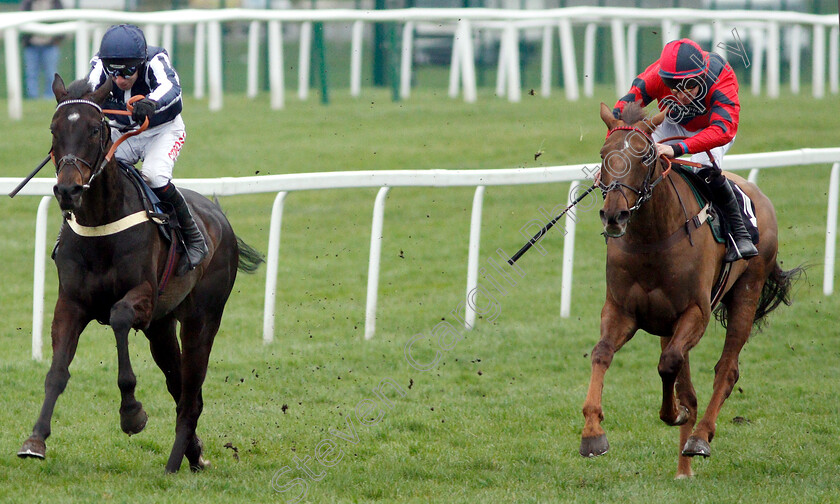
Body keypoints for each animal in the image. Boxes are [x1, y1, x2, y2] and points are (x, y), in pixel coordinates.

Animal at [18, 75, 262, 472]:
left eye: (94, 128)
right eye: (54, 129)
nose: (68, 190)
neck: (101, 224)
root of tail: (220, 218)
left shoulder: (143, 298)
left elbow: (118, 318)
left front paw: (132, 413)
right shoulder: (71, 303)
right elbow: (56, 372)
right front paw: (35, 440)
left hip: (202, 318)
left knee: (191, 395)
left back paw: (174, 463)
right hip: (162, 327)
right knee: (180, 388)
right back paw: (194, 454)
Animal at [576, 101, 800, 476]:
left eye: (646, 156)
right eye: (604, 154)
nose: (614, 216)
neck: (652, 239)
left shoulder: (696, 312)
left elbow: (669, 364)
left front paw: (675, 414)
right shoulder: (621, 310)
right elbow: (602, 353)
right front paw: (593, 433)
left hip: (747, 290)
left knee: (726, 369)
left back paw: (699, 438)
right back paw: (684, 467)